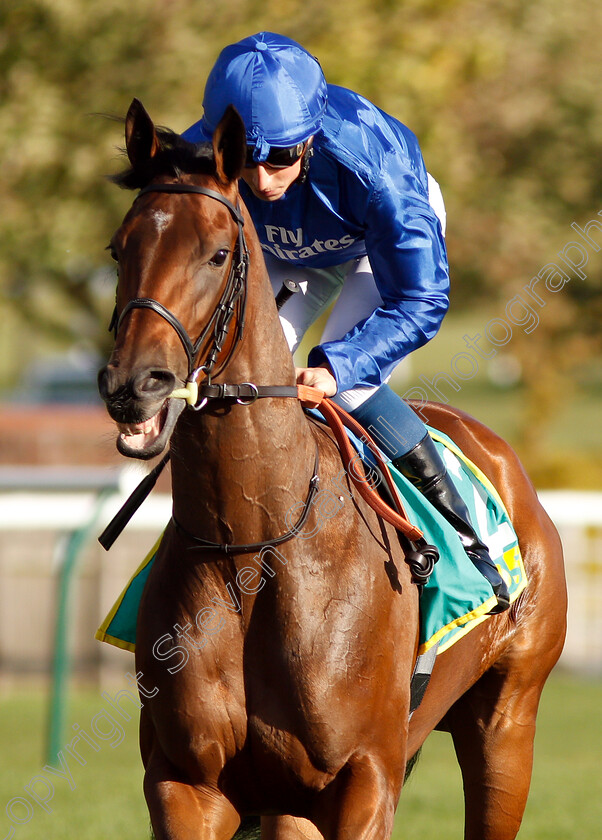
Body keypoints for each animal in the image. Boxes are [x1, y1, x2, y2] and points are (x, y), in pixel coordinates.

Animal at [97, 98, 564, 840]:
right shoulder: (187, 784)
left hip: (507, 722)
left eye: (218, 253)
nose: (134, 385)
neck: (254, 548)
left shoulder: (363, 780)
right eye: (120, 248)